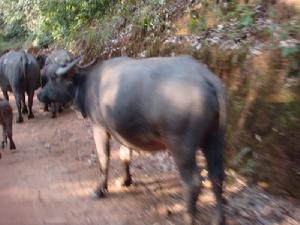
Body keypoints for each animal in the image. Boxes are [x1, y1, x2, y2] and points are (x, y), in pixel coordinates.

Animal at [37, 55, 227, 225]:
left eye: (53, 77)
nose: (40, 95)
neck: (86, 84)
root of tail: (206, 77)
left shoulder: (99, 127)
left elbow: (103, 159)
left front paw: (99, 190)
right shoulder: (122, 131)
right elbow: (125, 156)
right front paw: (126, 180)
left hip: (182, 146)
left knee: (193, 183)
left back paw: (188, 219)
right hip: (215, 139)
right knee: (216, 175)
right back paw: (218, 220)